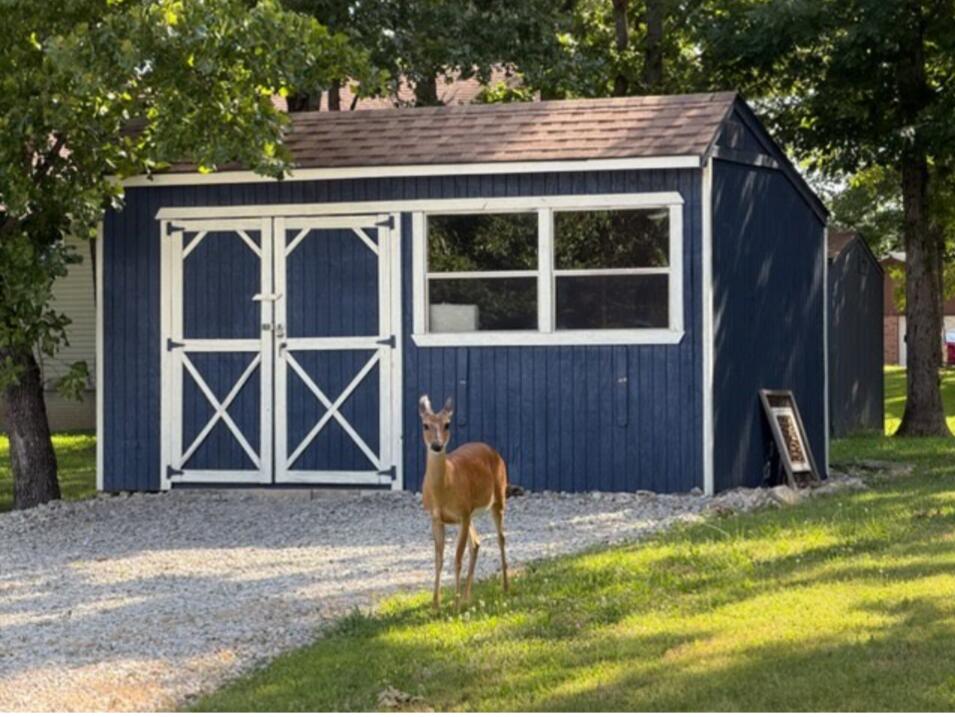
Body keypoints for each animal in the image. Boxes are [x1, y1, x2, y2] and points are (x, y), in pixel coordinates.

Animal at [418, 395, 509, 611]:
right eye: (425, 425)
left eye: (447, 424)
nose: (437, 445)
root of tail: (493, 451)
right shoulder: (436, 518)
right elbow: (438, 559)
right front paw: (436, 604)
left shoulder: (462, 513)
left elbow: (457, 558)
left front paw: (456, 604)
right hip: (471, 513)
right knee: (476, 543)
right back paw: (469, 597)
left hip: (498, 497)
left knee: (500, 538)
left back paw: (505, 586)